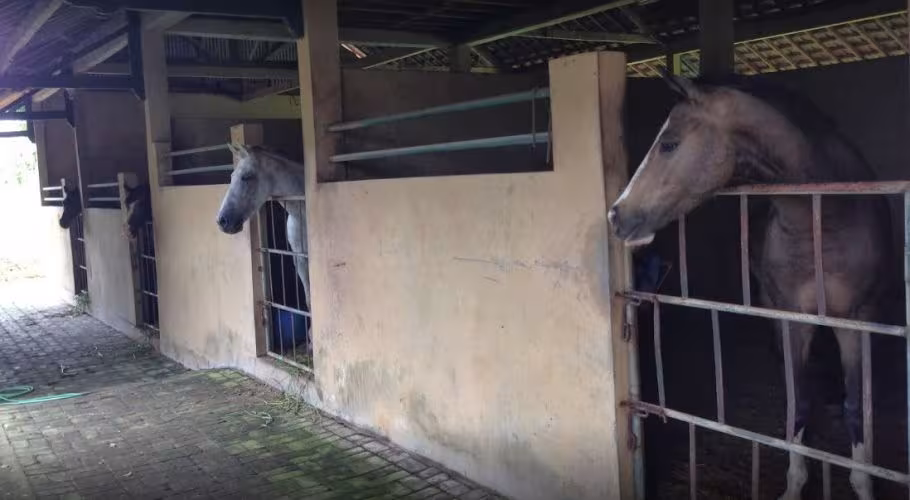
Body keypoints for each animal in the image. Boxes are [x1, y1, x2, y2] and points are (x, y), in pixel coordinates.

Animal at [215, 144, 311, 353]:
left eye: (246, 176)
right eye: (231, 177)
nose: (222, 221)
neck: (302, 212)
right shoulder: (300, 259)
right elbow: (309, 301)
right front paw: (311, 341)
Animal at [608, 73, 890, 500]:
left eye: (669, 143)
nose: (615, 215)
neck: (823, 218)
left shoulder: (857, 321)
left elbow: (856, 407)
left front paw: (863, 485)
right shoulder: (791, 319)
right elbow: (798, 401)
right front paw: (794, 485)